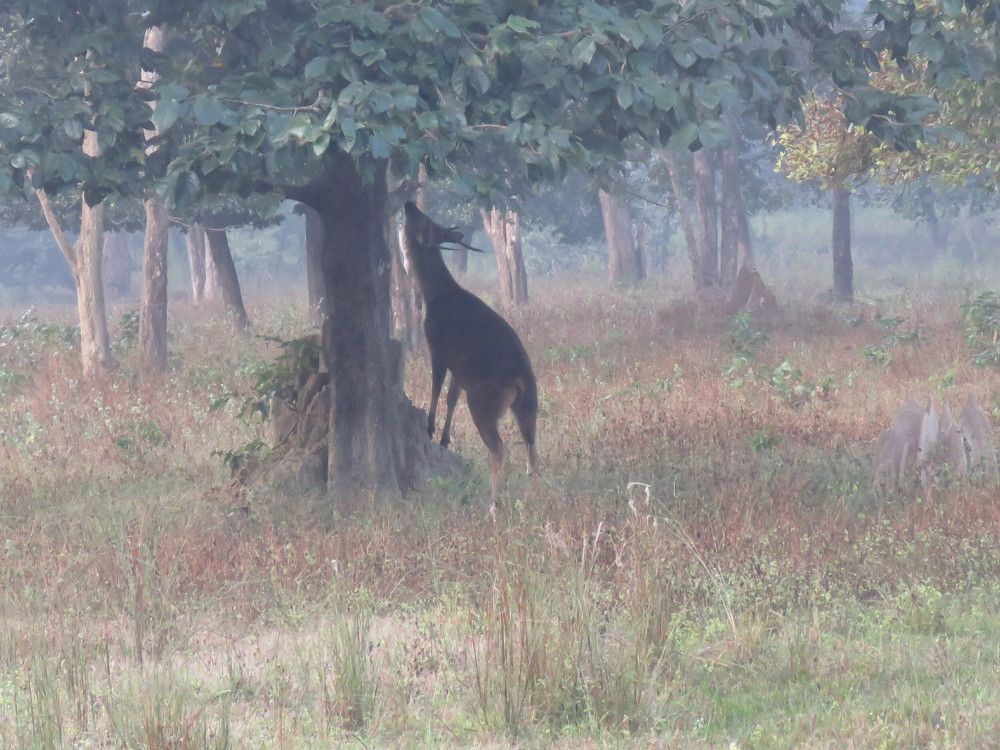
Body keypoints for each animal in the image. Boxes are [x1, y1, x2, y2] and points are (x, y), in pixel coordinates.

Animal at [402, 200, 539, 506]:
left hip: (483, 401)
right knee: (532, 447)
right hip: (527, 405)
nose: (408, 203)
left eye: (423, 220)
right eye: (431, 219)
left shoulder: (437, 347)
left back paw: (494, 504)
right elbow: (452, 397)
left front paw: (430, 428)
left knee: (499, 448)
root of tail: (521, 379)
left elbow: (436, 388)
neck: (435, 295)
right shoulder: (460, 368)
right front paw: (444, 438)